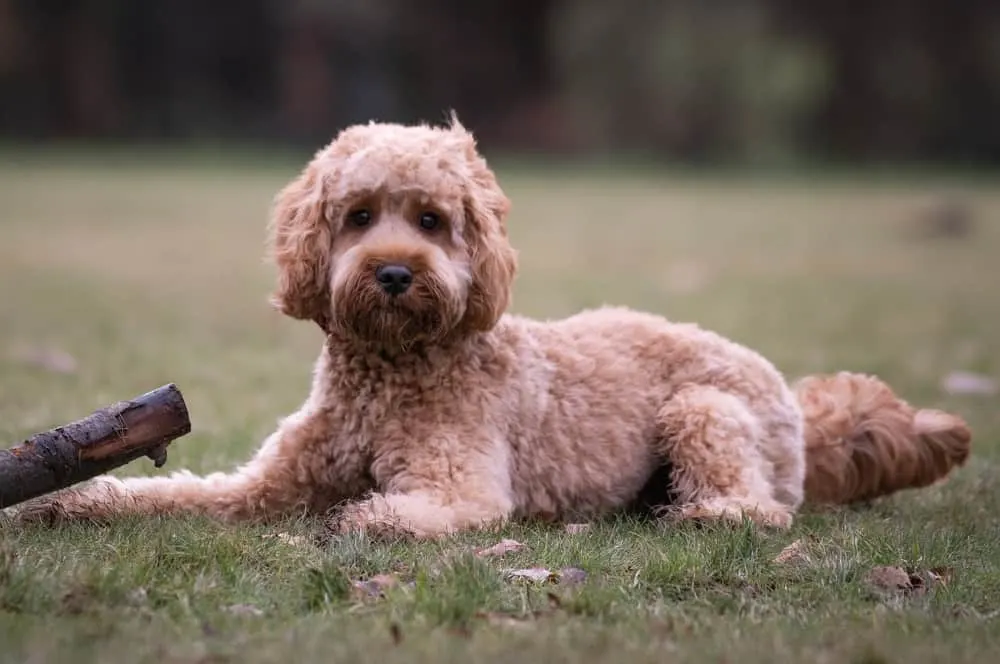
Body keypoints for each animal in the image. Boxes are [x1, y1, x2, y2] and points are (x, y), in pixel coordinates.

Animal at [11, 116, 972, 536]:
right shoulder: (265, 486)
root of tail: (796, 406)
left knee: (760, 509)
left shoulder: (459, 488)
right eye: (358, 216)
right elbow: (176, 492)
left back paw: (705, 514)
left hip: (702, 410)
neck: (394, 367)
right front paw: (69, 497)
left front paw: (368, 517)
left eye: (433, 220)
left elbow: (395, 511)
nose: (395, 273)